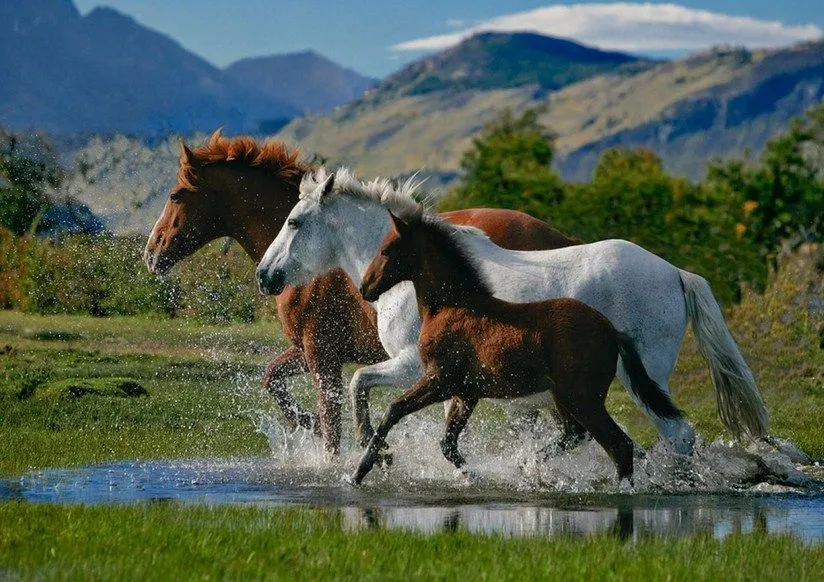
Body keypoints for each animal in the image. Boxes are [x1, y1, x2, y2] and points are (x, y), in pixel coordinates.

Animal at [143, 131, 580, 456]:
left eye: (175, 196)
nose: (151, 254)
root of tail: (563, 239)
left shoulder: (321, 354)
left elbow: (331, 424)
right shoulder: (311, 351)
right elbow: (273, 379)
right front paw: (306, 424)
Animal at [256, 169, 768, 456]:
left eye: (293, 222)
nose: (265, 275)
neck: (422, 276)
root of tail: (675, 272)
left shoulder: (414, 365)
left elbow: (360, 383)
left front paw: (374, 450)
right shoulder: (454, 379)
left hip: (643, 379)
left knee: (676, 434)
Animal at [354, 212, 684, 486]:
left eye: (386, 250)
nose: (364, 287)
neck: (454, 306)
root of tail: (612, 332)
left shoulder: (439, 380)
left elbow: (394, 410)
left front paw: (359, 471)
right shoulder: (466, 392)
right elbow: (447, 444)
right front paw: (474, 476)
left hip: (583, 399)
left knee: (620, 444)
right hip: (565, 398)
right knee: (578, 435)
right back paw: (533, 466)